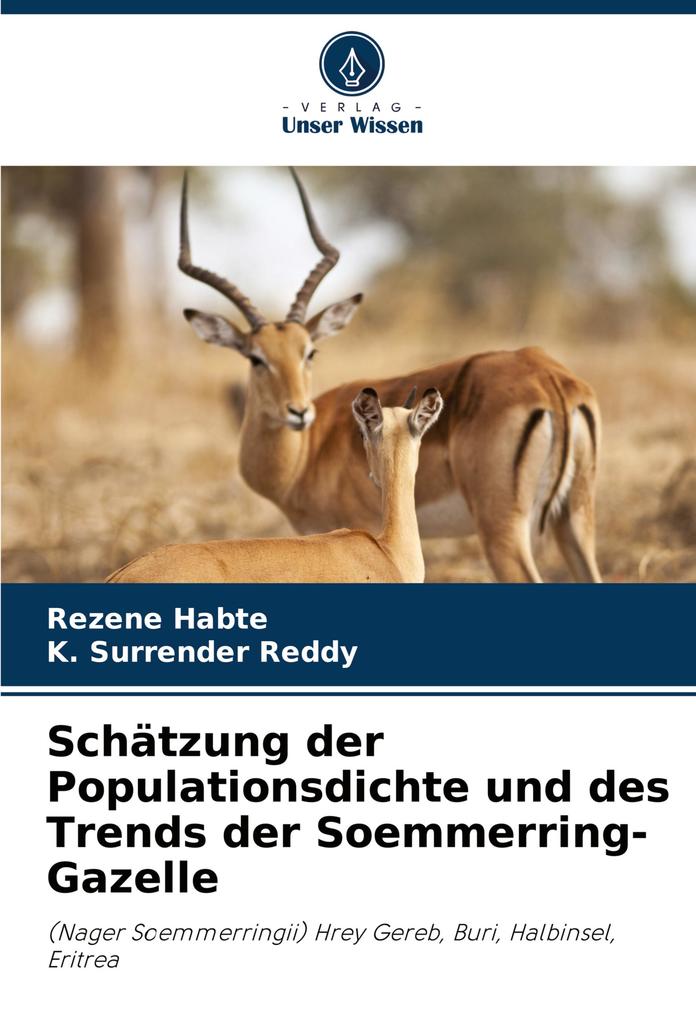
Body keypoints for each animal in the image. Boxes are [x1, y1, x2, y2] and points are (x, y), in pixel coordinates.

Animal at [179, 170, 602, 583]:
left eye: (309, 352)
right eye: (256, 357)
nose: (298, 412)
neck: (306, 453)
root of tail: (549, 377)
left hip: (503, 528)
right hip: (573, 520)